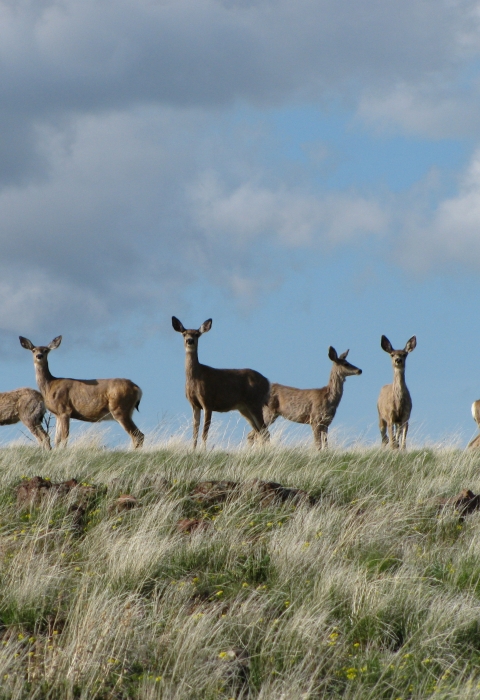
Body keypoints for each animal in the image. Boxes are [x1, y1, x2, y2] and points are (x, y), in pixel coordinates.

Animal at [172, 317, 270, 448]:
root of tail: (267, 382)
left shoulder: (208, 402)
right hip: (244, 408)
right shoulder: (194, 405)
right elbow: (195, 433)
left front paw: (203, 450)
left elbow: (204, 433)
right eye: (184, 334)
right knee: (260, 432)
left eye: (197, 334)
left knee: (265, 431)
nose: (190, 341)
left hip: (255, 402)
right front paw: (193, 449)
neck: (196, 377)